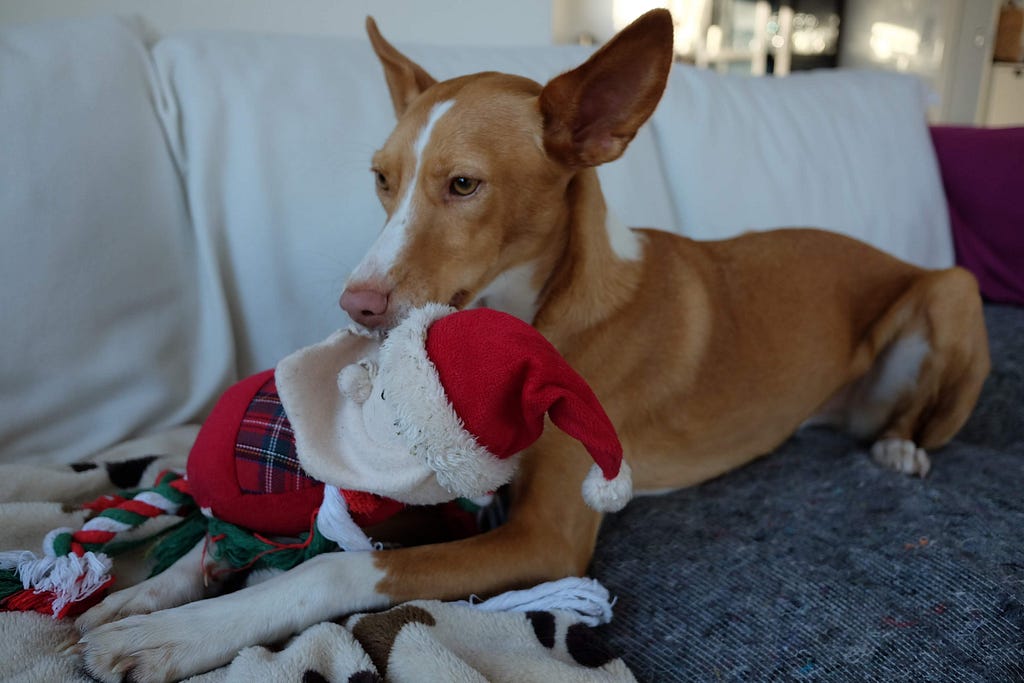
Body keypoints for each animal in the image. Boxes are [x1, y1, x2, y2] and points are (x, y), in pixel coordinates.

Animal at [75, 9, 987, 679]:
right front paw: (156, 591)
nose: (354, 305)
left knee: (926, 414)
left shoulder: (546, 537)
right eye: (380, 178)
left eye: (464, 184)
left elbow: (332, 567)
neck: (543, 309)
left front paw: (178, 632)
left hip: (952, 288)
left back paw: (903, 446)